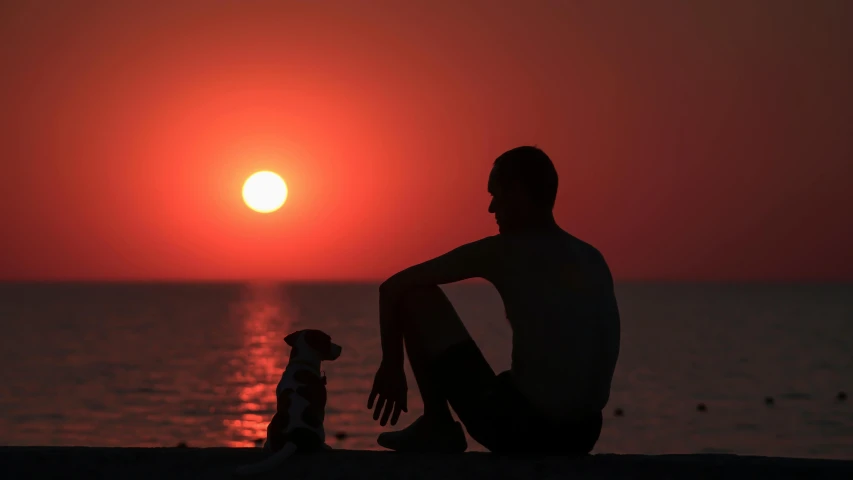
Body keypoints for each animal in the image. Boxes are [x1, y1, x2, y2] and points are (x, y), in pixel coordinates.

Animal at [235, 328, 342, 474]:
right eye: (328, 340)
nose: (340, 348)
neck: (301, 363)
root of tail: (292, 438)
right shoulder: (321, 407)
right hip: (318, 426)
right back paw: (324, 446)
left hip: (271, 423)